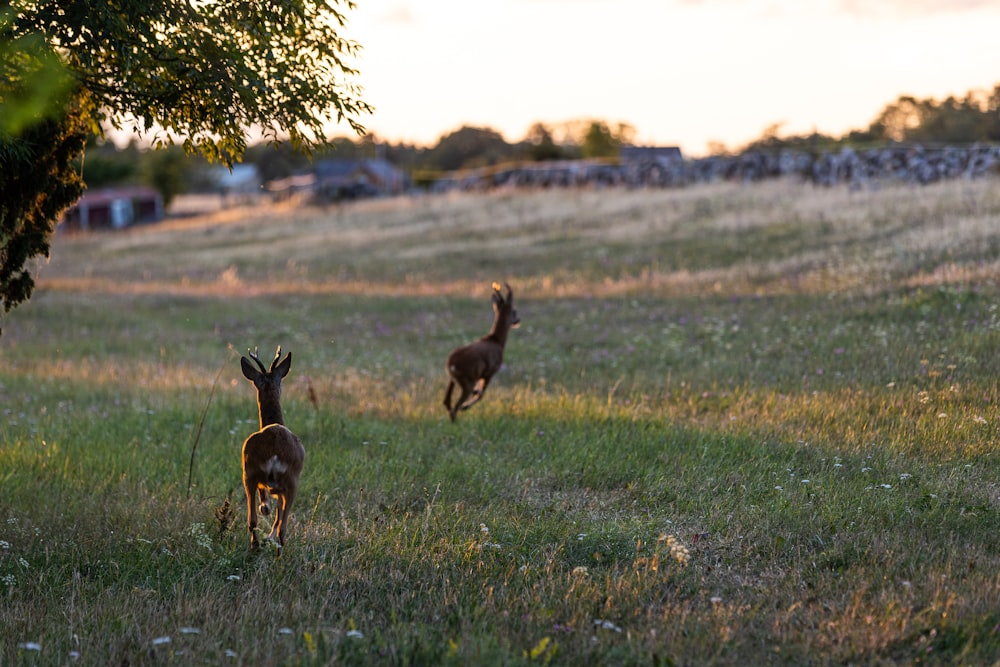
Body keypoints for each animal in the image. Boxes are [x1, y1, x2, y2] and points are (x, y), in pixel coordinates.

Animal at [241, 348, 304, 552]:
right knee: (281, 526)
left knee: (254, 520)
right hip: (289, 479)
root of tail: (275, 452)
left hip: (251, 472)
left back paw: (259, 544)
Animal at [446, 284, 524, 422]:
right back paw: (460, 411)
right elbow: (482, 394)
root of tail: (451, 364)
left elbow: (480, 393)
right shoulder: (490, 371)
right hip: (468, 378)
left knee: (446, 402)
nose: (518, 320)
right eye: (514, 311)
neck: (496, 341)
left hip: (453, 379)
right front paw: (466, 407)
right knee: (455, 407)